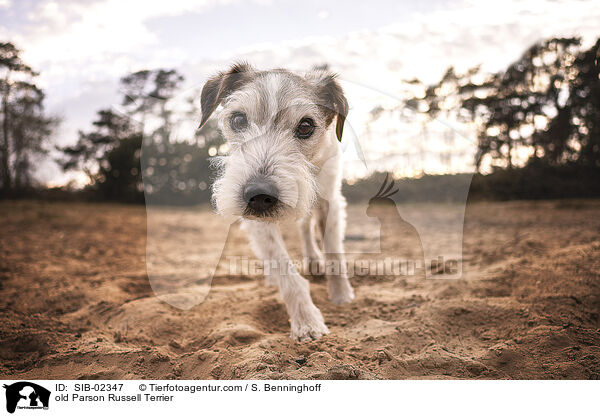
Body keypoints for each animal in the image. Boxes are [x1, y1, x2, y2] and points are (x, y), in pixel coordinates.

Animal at [199, 62, 354, 342]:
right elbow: (284, 268)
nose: (258, 194)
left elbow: (333, 251)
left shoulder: (331, 200)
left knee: (305, 228)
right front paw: (307, 322)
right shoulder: (256, 221)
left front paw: (341, 296)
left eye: (305, 126)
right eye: (238, 119)